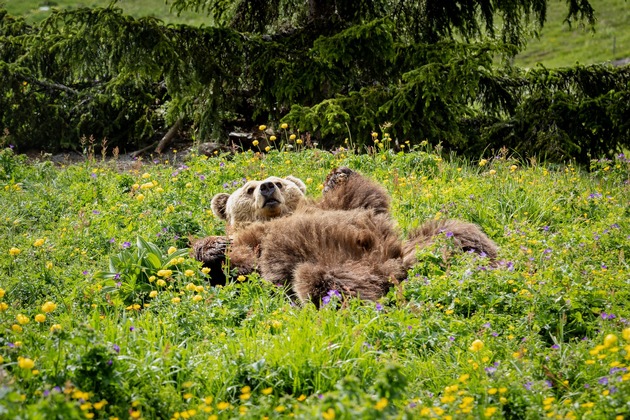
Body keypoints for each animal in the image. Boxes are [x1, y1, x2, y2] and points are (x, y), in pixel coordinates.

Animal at [193, 167, 498, 306]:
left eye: (279, 182)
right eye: (248, 188)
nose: (267, 187)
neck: (276, 218)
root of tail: (394, 267)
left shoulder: (339, 207)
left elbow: (365, 199)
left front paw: (338, 175)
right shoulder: (252, 245)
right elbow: (234, 268)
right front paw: (214, 246)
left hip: (422, 243)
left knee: (458, 232)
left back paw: (484, 262)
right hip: (329, 268)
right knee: (321, 282)